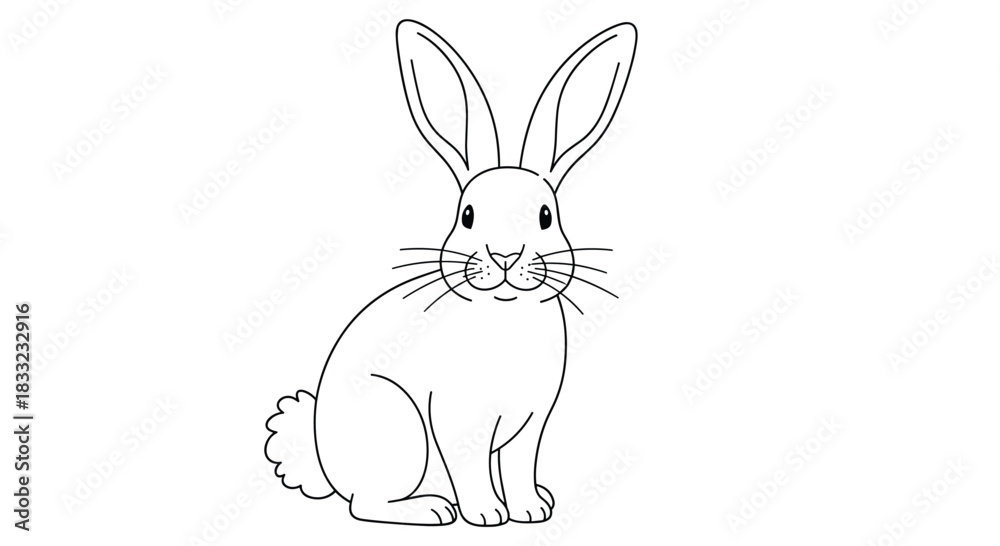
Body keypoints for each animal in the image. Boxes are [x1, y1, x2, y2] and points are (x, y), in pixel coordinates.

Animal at [265, 19, 636, 527]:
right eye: (467, 215)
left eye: (545, 216)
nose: (504, 255)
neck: (505, 316)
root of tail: (323, 458)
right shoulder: (457, 420)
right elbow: (472, 468)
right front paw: (486, 515)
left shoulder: (531, 425)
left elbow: (519, 467)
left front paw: (531, 509)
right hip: (402, 432)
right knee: (365, 504)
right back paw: (433, 510)